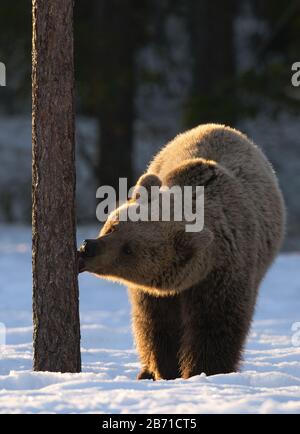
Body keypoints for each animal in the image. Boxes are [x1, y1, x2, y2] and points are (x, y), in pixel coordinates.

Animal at [78, 123, 284, 380]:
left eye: (129, 250)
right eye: (113, 225)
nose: (88, 248)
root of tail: (221, 127)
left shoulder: (223, 275)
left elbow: (214, 326)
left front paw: (204, 370)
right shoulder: (153, 294)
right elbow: (157, 325)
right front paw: (163, 369)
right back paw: (144, 371)